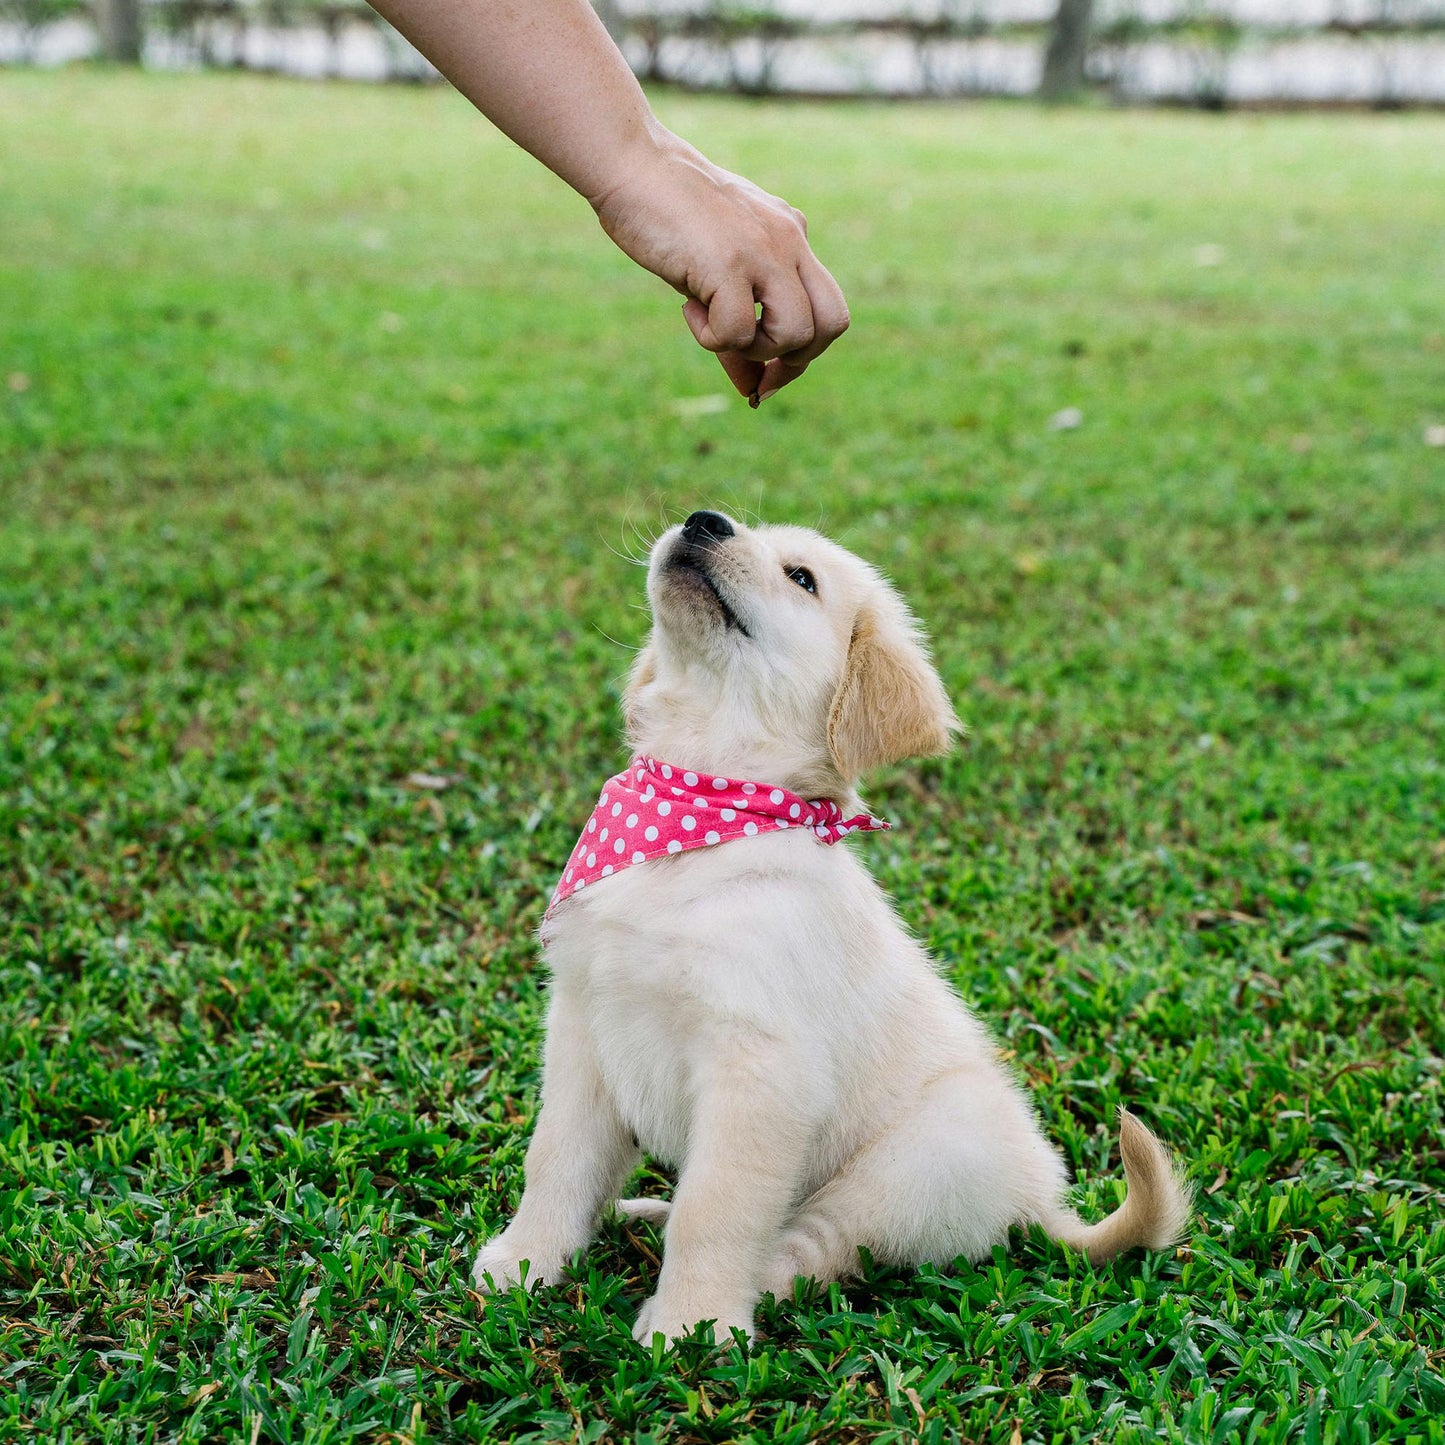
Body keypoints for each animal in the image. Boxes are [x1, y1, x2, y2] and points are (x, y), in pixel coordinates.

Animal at [471, 508, 1184, 1340]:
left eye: (801, 578)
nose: (703, 520)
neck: (701, 806)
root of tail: (1038, 1202)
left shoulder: (760, 1070)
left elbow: (715, 1207)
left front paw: (688, 1324)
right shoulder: (584, 1028)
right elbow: (555, 1159)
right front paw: (525, 1260)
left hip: (910, 1163)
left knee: (806, 1248)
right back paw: (639, 1211)